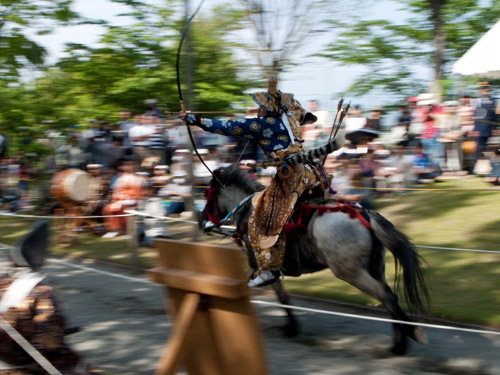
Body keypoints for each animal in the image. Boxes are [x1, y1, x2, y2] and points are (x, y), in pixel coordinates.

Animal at [199, 167, 430, 356]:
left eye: (207, 196)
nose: (201, 220)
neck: (250, 213)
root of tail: (364, 214)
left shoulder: (259, 267)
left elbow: (267, 291)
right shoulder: (268, 270)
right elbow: (282, 296)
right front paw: (291, 326)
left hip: (350, 272)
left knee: (386, 296)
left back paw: (401, 344)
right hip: (376, 267)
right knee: (389, 297)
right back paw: (404, 335)